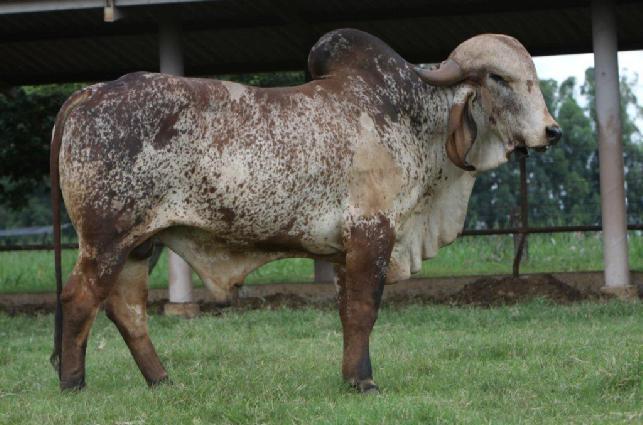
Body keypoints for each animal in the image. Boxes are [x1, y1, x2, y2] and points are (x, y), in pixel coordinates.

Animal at [50, 29, 560, 390]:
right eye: (499, 78)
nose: (551, 131)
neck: (413, 119)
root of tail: (88, 93)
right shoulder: (372, 233)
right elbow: (364, 309)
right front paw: (364, 382)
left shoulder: (343, 251)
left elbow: (348, 312)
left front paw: (352, 376)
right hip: (106, 239)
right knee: (79, 298)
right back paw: (73, 383)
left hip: (141, 243)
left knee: (126, 308)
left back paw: (161, 381)